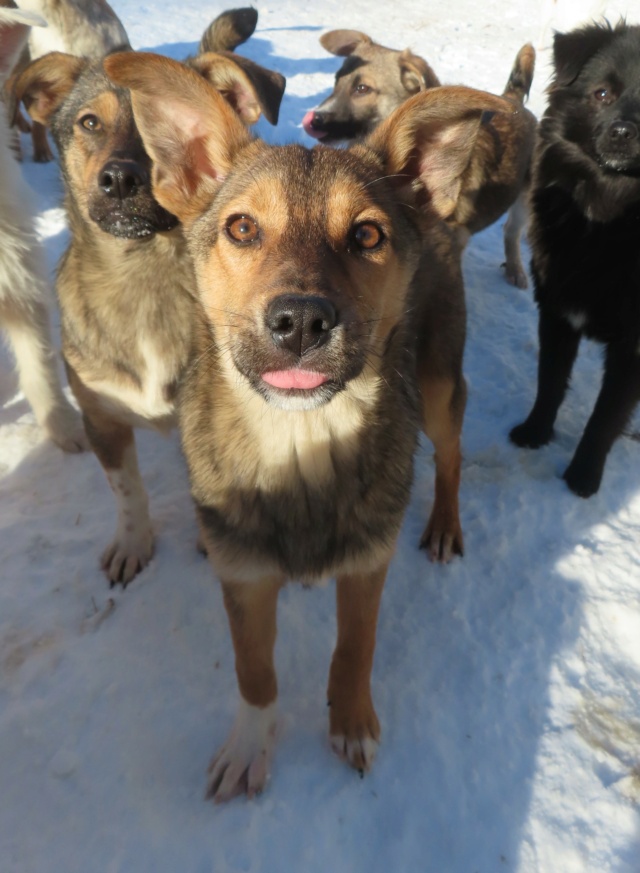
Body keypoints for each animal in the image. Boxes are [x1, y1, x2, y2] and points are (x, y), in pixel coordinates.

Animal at [14, 10, 284, 584]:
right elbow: (127, 492)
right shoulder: (102, 417)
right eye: (89, 123)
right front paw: (132, 543)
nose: (119, 179)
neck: (145, 281)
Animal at [106, 47, 510, 796]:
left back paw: (444, 524)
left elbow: (355, 647)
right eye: (241, 227)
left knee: (450, 455)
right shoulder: (243, 575)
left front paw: (351, 725)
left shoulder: (368, 562)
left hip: (439, 386)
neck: (299, 446)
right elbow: (253, 669)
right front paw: (250, 746)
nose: (300, 321)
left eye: (368, 234)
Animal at [302, 31, 536, 290]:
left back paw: (515, 268)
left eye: (362, 88)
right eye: (336, 81)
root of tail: (513, 98)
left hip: (525, 201)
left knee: (511, 232)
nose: (313, 119)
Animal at [512, 20, 640, 494]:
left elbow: (605, 417)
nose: (622, 132)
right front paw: (534, 433)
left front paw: (583, 477)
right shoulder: (558, 312)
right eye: (602, 93)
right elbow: (549, 382)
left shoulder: (632, 346)